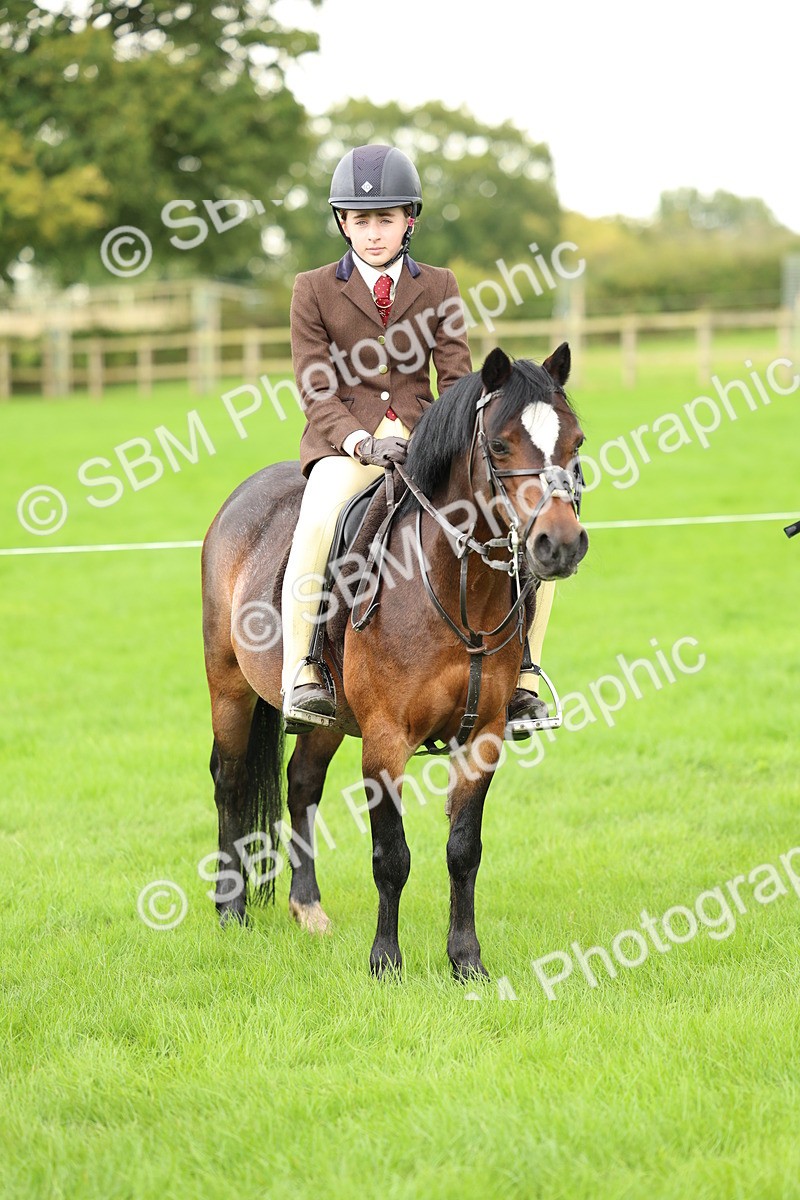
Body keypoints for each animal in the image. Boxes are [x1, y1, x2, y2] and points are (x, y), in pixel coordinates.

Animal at [201, 343, 588, 980]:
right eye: (500, 444)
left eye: (575, 442)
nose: (559, 545)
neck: (456, 588)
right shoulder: (385, 739)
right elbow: (391, 855)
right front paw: (386, 962)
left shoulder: (482, 737)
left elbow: (463, 851)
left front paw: (466, 961)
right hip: (229, 687)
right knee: (230, 782)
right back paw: (230, 910)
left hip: (328, 720)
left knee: (301, 784)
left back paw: (308, 909)